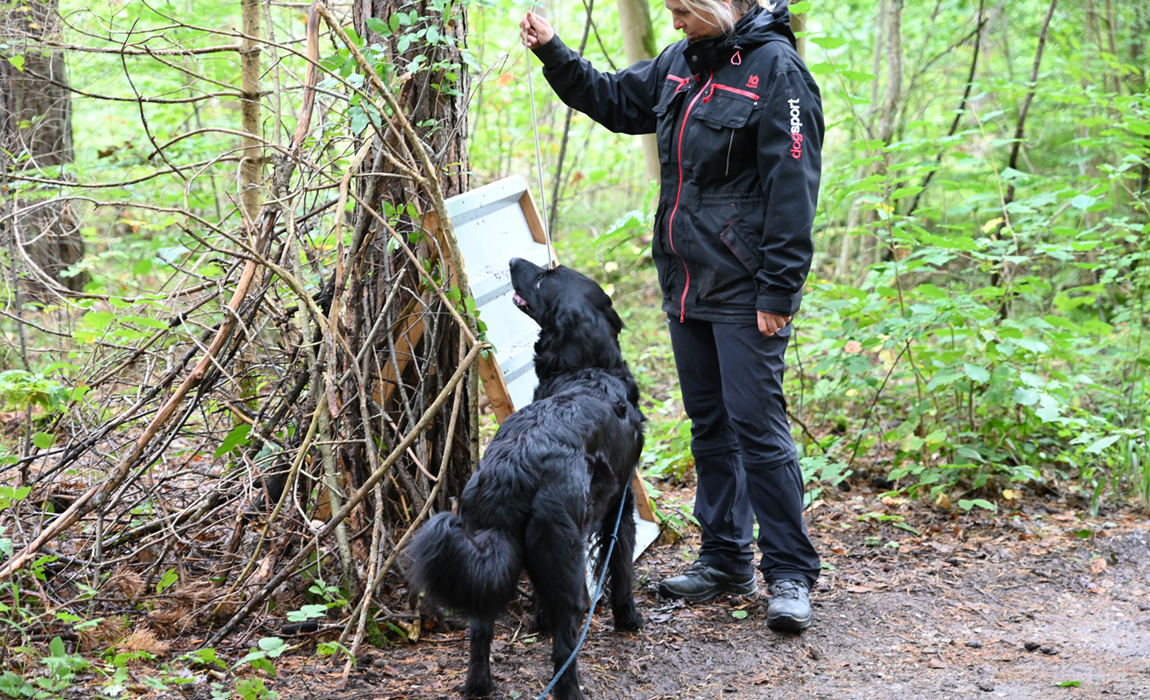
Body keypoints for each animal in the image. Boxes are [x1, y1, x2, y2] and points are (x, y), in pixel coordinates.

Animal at [407, 257, 644, 698]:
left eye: (546, 275)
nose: (515, 261)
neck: (587, 369)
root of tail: (511, 468)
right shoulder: (621, 506)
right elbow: (620, 569)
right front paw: (628, 619)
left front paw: (538, 622)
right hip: (565, 555)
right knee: (564, 647)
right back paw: (570, 689)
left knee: (480, 632)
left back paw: (479, 686)